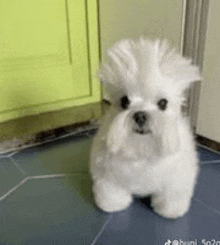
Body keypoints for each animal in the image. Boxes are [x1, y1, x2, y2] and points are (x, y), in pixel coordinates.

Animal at [89, 37, 201, 218]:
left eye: (163, 103)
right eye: (125, 101)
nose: (140, 115)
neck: (142, 151)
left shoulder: (176, 181)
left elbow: (171, 196)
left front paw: (171, 211)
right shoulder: (109, 178)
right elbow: (111, 192)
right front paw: (112, 205)